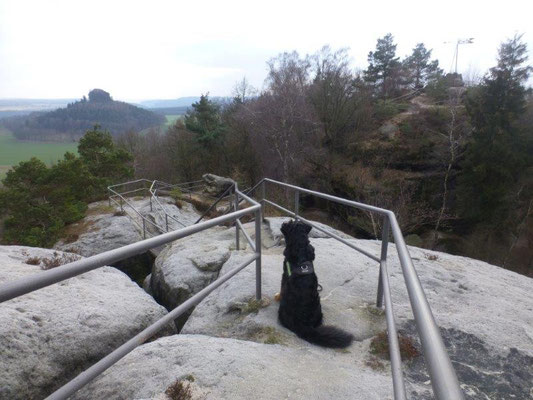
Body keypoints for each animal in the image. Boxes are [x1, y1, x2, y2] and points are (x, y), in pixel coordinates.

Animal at [278, 220, 354, 348]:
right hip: (319, 311)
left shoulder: (284, 275)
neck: (301, 249)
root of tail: (304, 326)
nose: (284, 223)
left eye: (290, 222)